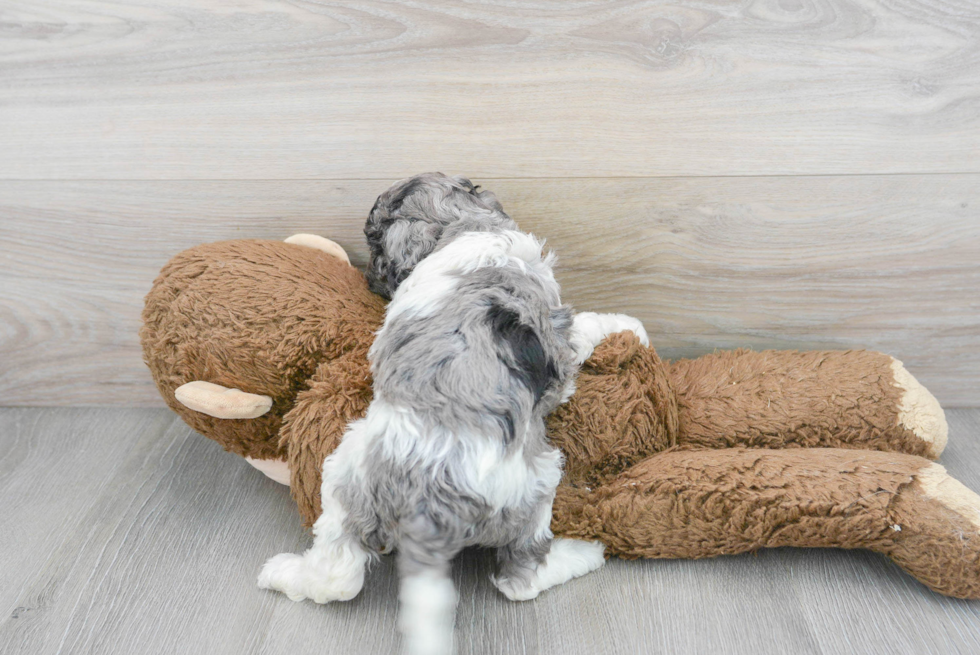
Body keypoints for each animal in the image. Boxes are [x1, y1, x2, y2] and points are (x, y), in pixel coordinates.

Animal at [256, 174, 648, 655]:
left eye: (374, 244)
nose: (368, 279)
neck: (465, 229)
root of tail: (431, 509)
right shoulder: (560, 340)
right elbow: (586, 328)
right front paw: (628, 324)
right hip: (530, 489)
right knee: (519, 577)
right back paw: (584, 553)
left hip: (351, 477)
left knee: (342, 574)